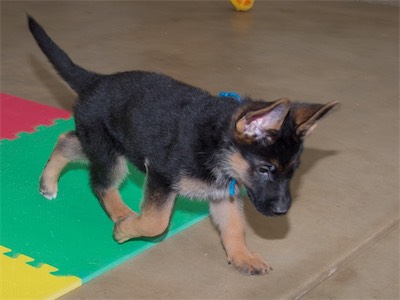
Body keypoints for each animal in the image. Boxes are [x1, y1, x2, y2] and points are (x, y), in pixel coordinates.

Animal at [29, 15, 340, 274]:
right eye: (264, 169)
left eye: (292, 171)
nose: (282, 211)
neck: (217, 145)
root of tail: (96, 80)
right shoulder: (161, 176)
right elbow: (155, 222)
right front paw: (127, 229)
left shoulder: (223, 195)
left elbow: (234, 228)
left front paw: (242, 256)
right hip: (110, 154)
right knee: (101, 185)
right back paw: (121, 215)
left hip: (104, 144)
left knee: (66, 139)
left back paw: (48, 183)